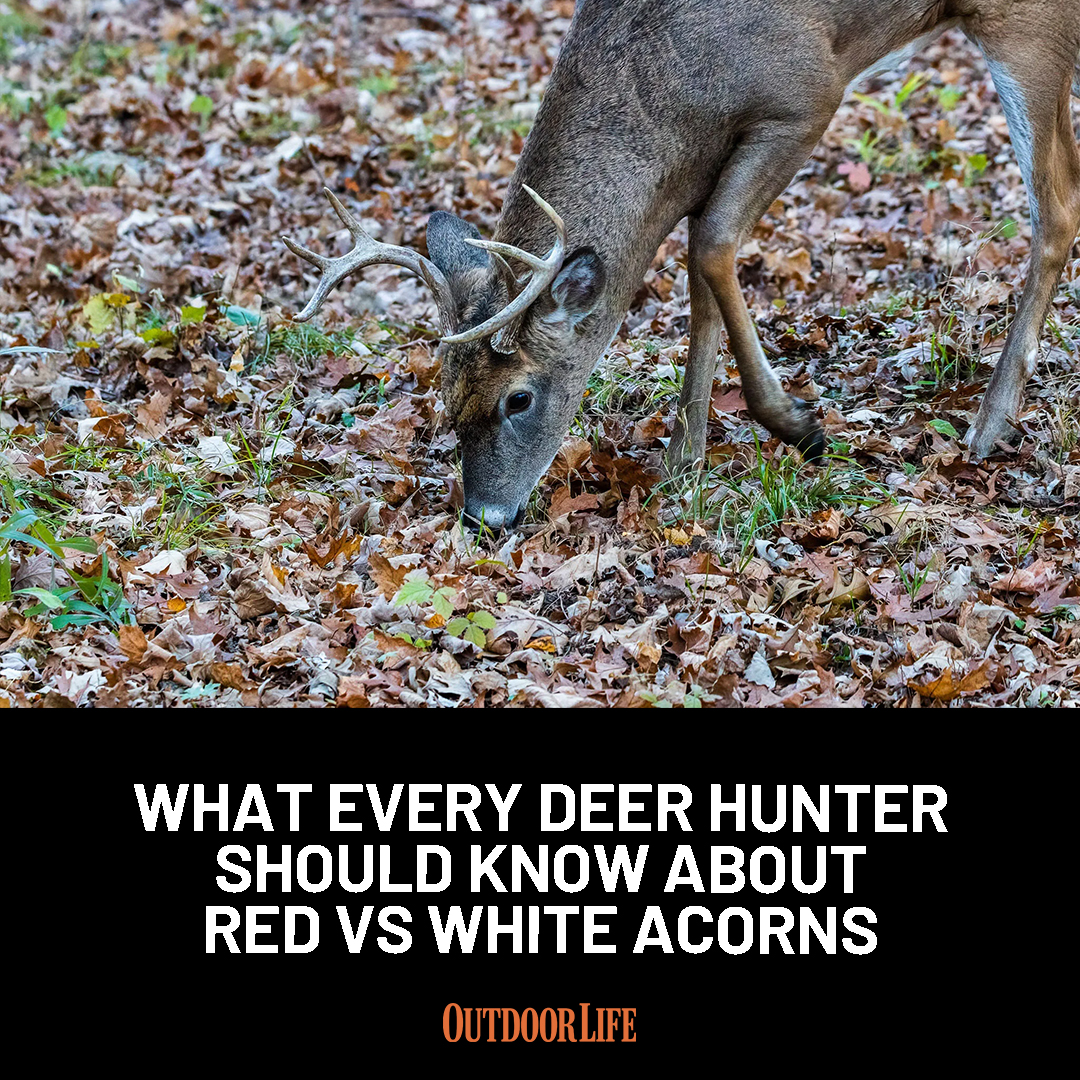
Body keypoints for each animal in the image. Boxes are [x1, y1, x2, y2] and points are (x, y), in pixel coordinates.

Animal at [283, 0, 1080, 529]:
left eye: (519, 399)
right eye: (447, 398)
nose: (483, 515)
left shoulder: (805, 96)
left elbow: (714, 245)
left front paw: (796, 425)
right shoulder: (703, 167)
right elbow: (699, 277)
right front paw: (683, 457)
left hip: (1023, 25)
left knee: (1059, 207)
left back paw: (989, 425)